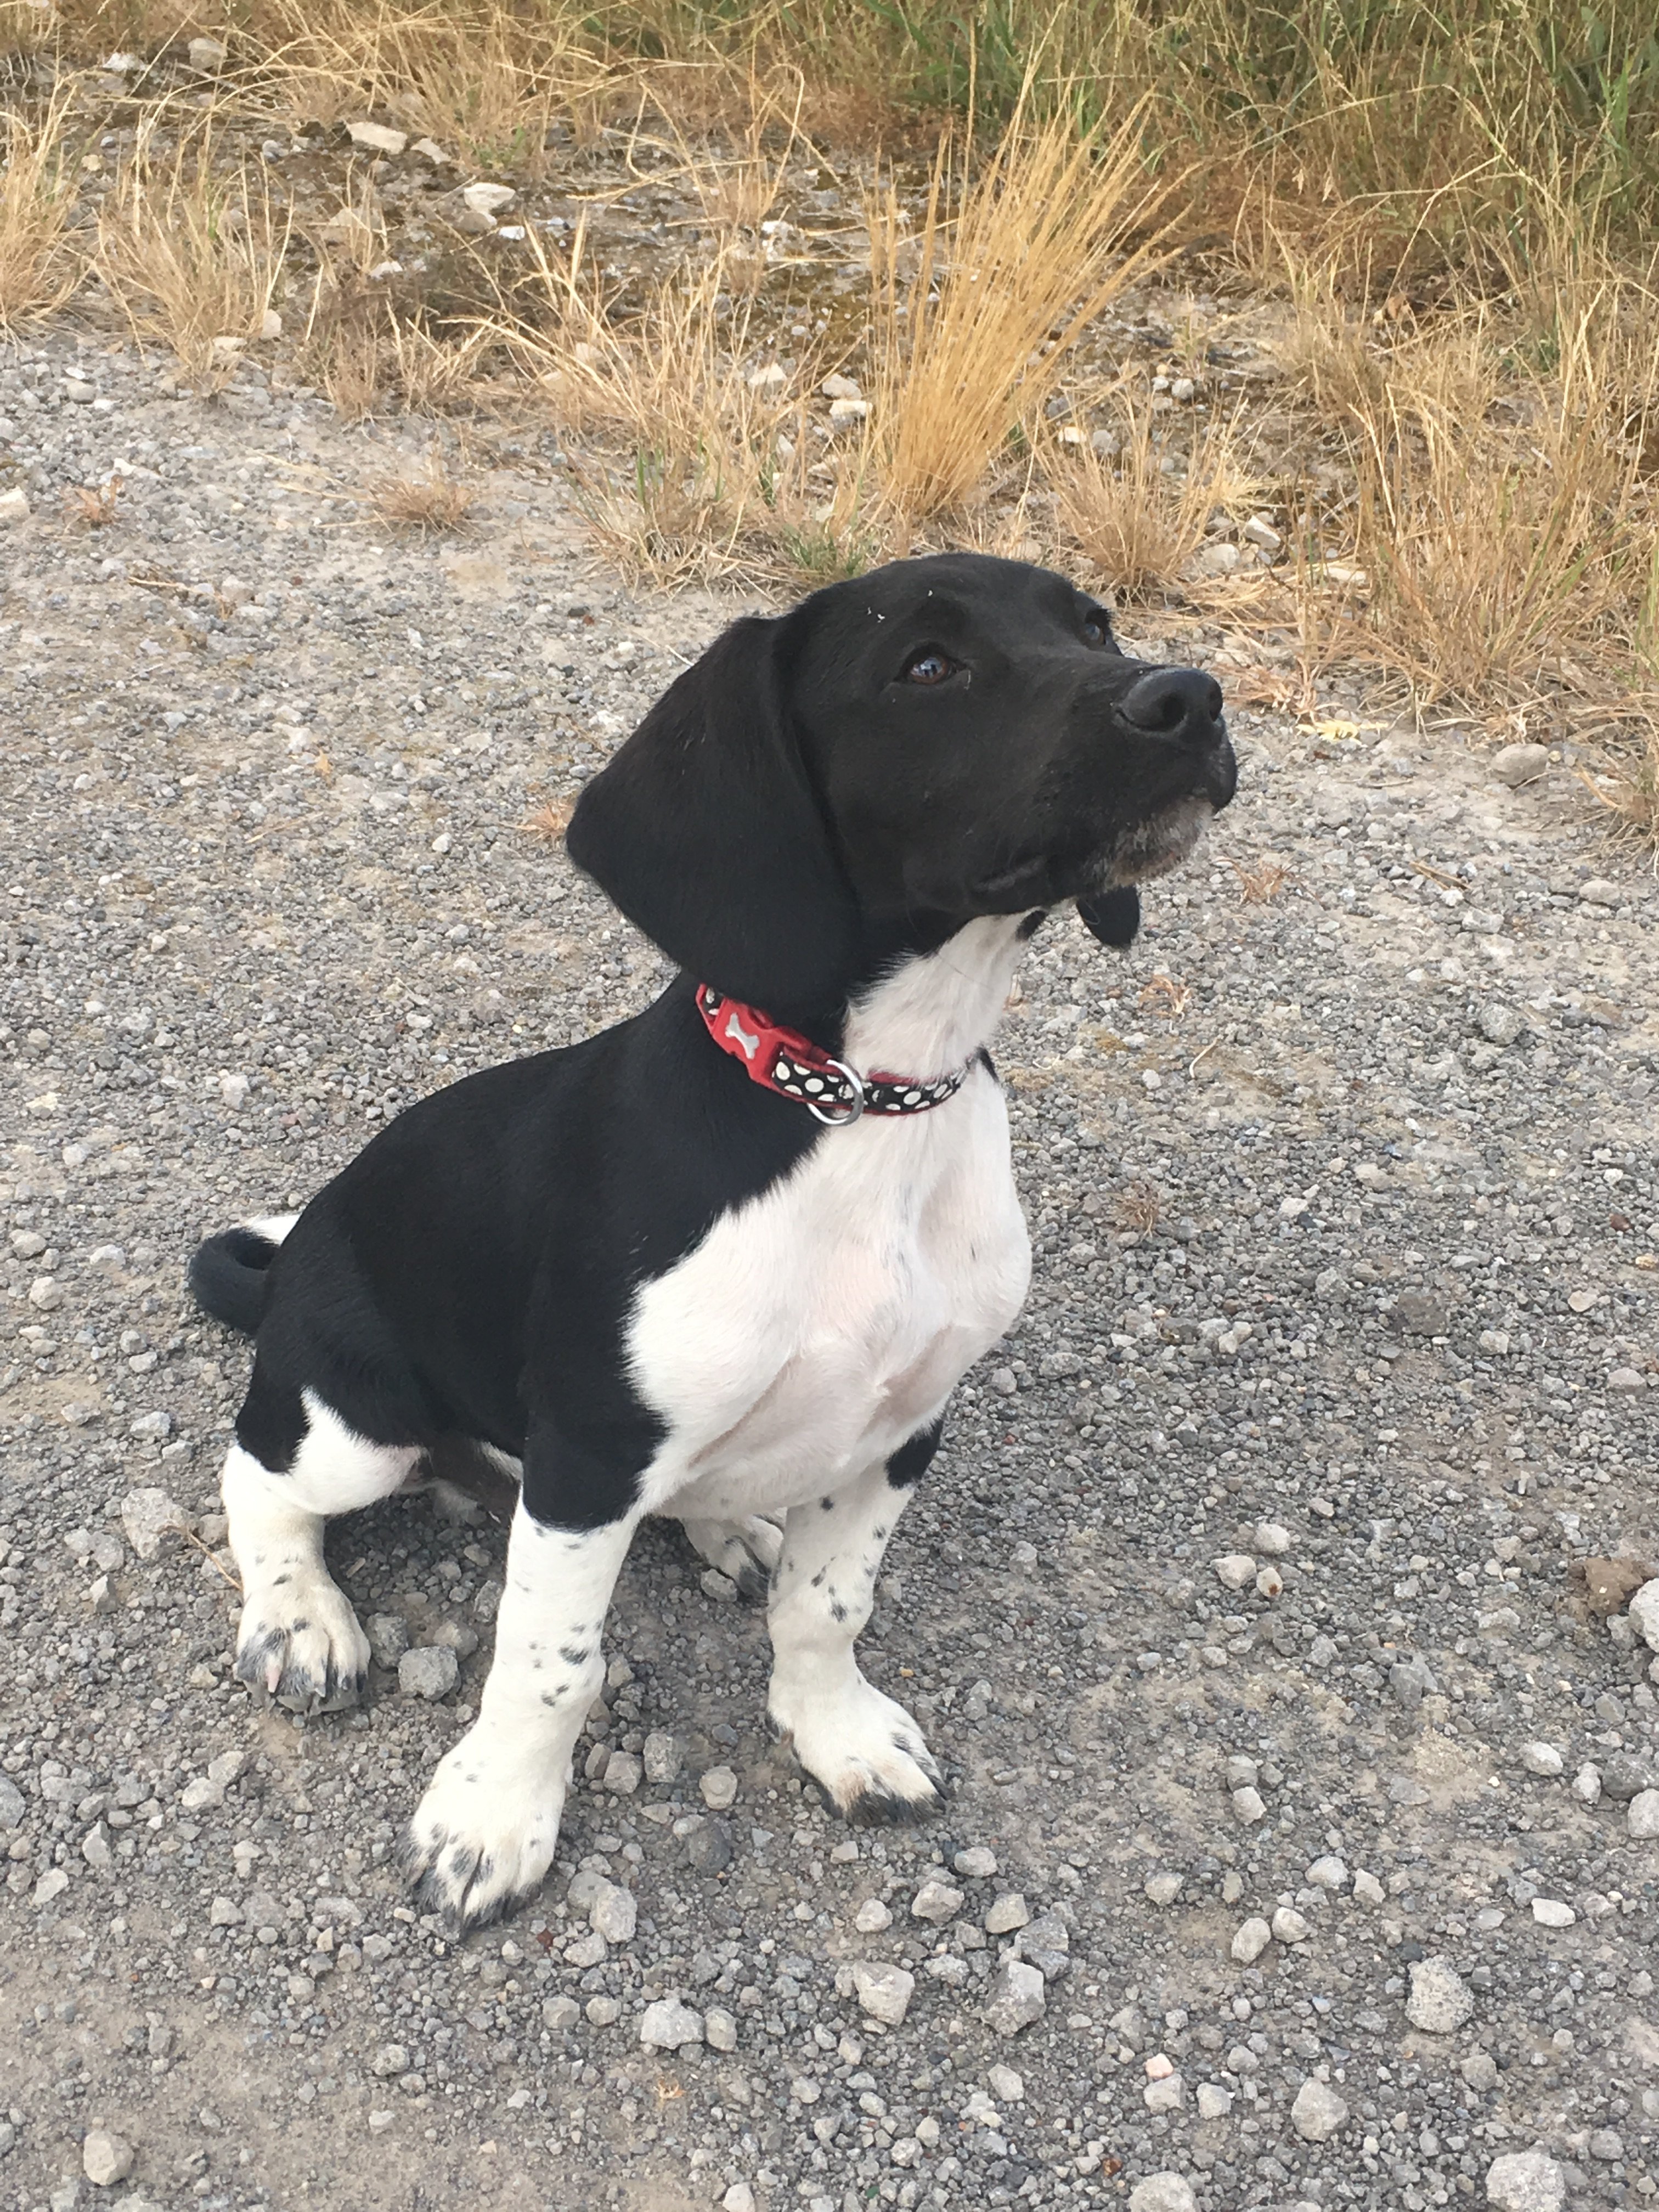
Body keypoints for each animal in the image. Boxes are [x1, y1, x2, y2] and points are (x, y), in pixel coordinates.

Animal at [191, 557, 1238, 1938]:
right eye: (927, 667)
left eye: (1095, 625)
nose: (1190, 697)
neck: (861, 1109)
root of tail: (298, 1254)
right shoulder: (587, 1461)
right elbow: (549, 1668)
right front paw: (490, 1821)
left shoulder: (906, 1426)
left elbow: (832, 1608)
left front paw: (837, 1733)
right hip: (356, 1427)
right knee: (254, 1474)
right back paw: (301, 1619)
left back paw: (732, 1530)